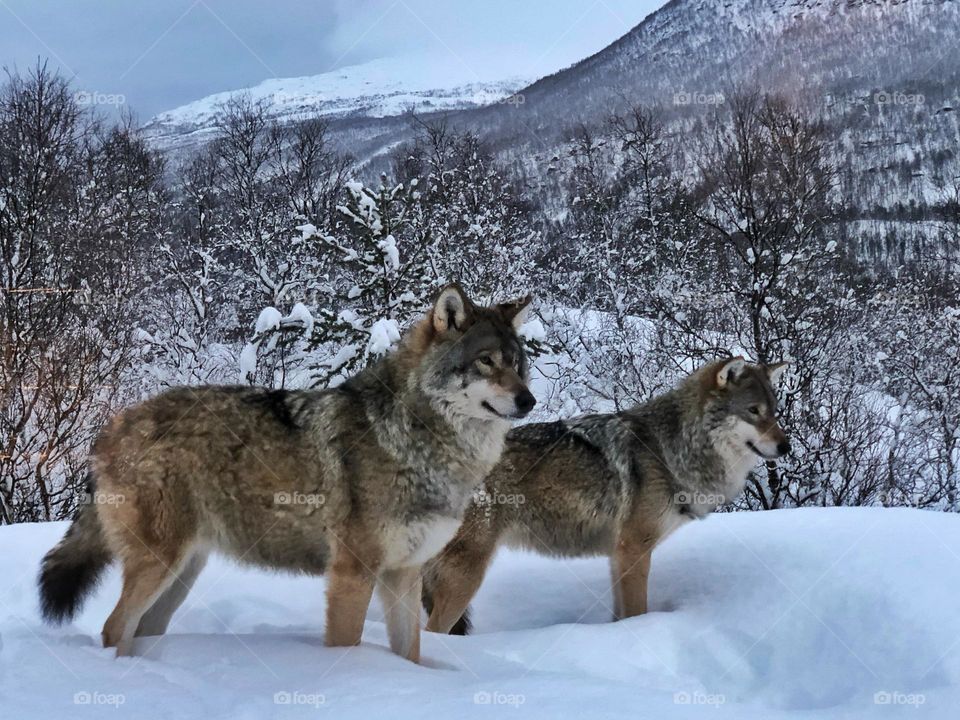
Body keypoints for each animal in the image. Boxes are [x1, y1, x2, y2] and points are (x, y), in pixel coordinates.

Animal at [41, 286, 536, 664]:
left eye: (517, 364)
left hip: (181, 574)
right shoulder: (352, 572)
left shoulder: (405, 574)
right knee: (112, 628)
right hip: (160, 565)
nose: (529, 400)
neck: (415, 439)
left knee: (138, 629)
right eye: (486, 361)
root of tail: (114, 423)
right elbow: (348, 645)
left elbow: (410, 653)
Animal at [420, 358, 788, 632]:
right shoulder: (634, 550)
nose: (785, 447)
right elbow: (637, 612)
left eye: (774, 411)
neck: (671, 449)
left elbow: (619, 616)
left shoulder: (618, 554)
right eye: (753, 411)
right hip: (466, 575)